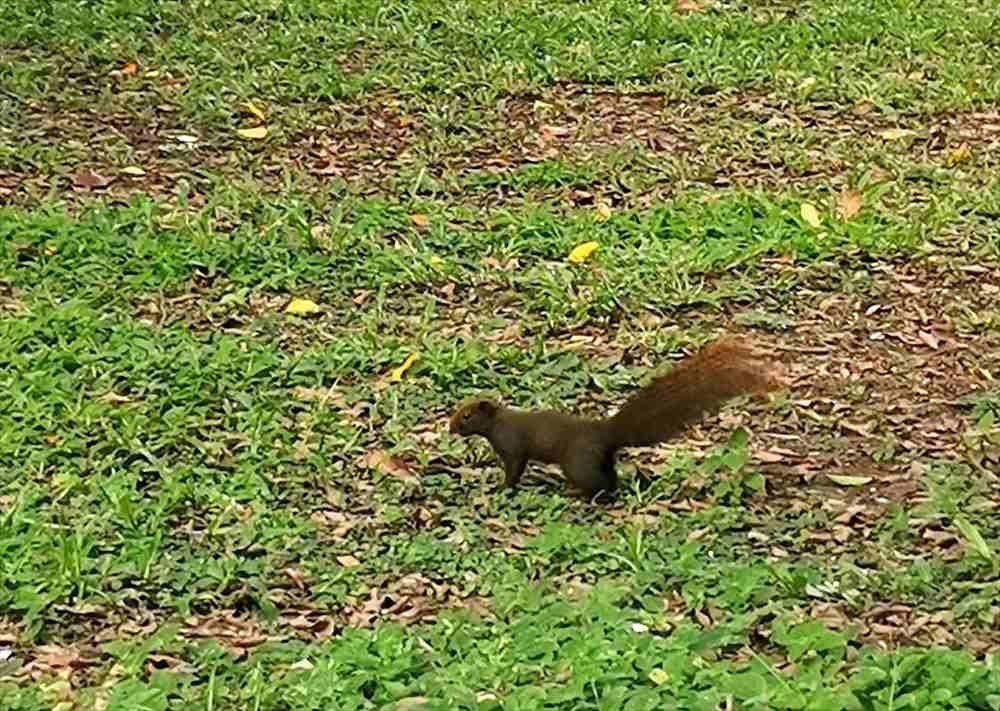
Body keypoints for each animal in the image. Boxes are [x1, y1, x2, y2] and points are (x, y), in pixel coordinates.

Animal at [450, 340, 784, 500]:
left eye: (466, 416)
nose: (450, 427)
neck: (498, 423)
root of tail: (606, 433)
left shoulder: (513, 447)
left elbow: (514, 469)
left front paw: (503, 488)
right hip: (599, 459)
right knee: (610, 478)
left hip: (578, 462)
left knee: (600, 484)